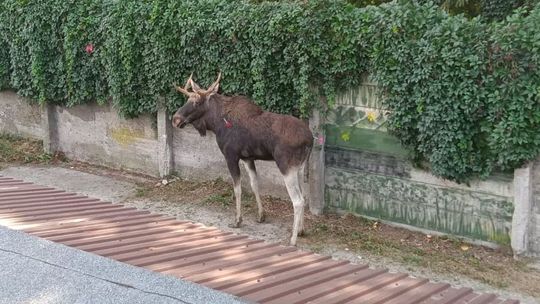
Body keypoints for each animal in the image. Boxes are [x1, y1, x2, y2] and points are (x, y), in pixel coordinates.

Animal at [173, 73, 314, 247]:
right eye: (187, 100)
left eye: (197, 102)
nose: (175, 119)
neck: (216, 123)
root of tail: (310, 140)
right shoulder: (248, 158)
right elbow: (254, 184)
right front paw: (261, 215)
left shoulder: (231, 156)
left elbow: (237, 188)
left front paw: (238, 220)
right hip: (299, 168)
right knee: (303, 197)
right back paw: (301, 230)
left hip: (286, 166)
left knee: (298, 200)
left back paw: (293, 239)